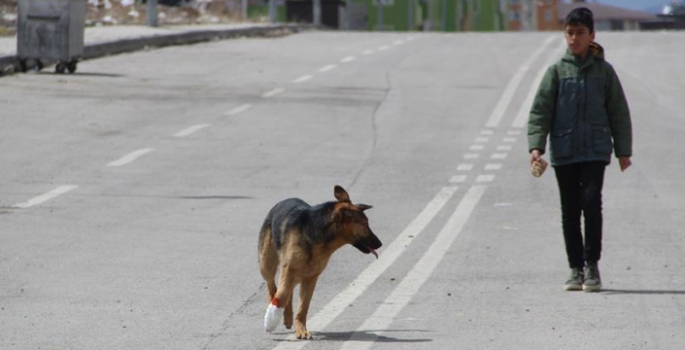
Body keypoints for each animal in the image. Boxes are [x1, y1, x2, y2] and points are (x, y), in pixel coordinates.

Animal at [260, 186, 382, 340]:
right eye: (365, 224)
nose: (380, 244)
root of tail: (282, 202)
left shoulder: (310, 279)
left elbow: (303, 308)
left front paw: (301, 329)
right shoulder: (289, 271)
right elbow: (281, 296)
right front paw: (270, 323)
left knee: (287, 292)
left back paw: (287, 317)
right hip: (266, 265)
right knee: (272, 287)